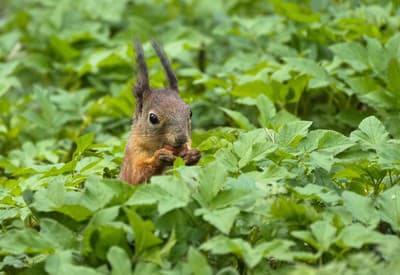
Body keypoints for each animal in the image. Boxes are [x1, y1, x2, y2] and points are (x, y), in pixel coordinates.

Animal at [118, 39, 200, 185]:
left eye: (190, 113)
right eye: (153, 118)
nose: (181, 138)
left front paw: (193, 155)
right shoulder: (132, 155)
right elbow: (136, 177)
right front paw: (159, 158)